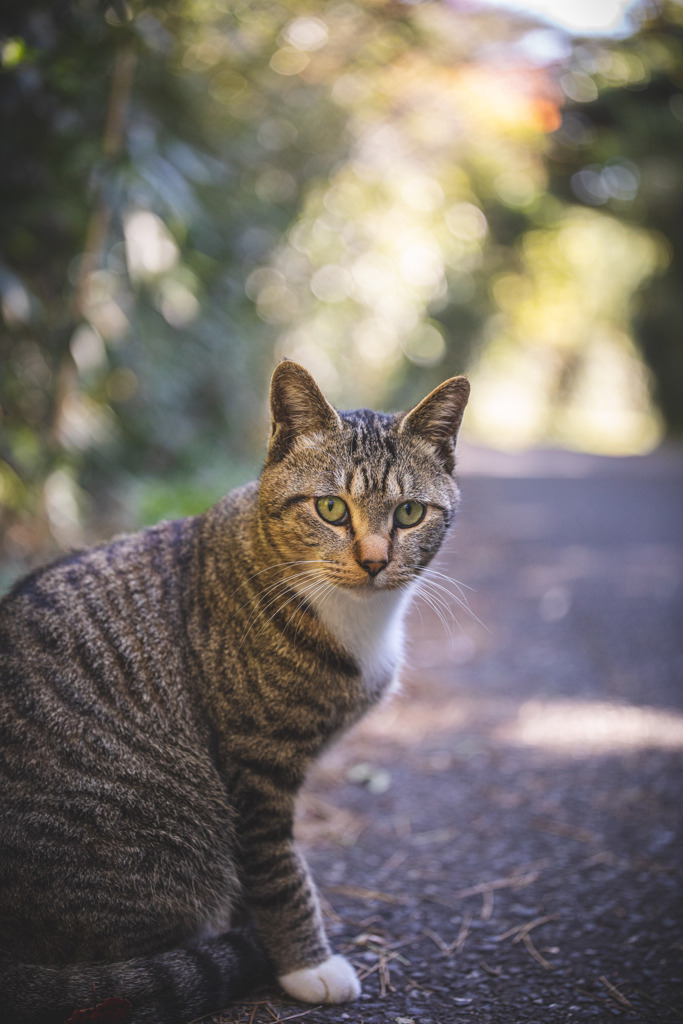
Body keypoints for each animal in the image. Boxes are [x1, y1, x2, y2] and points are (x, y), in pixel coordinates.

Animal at [0, 364, 471, 1024]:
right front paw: (304, 963)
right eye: (331, 507)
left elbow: (261, 876)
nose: (376, 562)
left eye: (408, 513)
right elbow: (279, 873)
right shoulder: (255, 766)